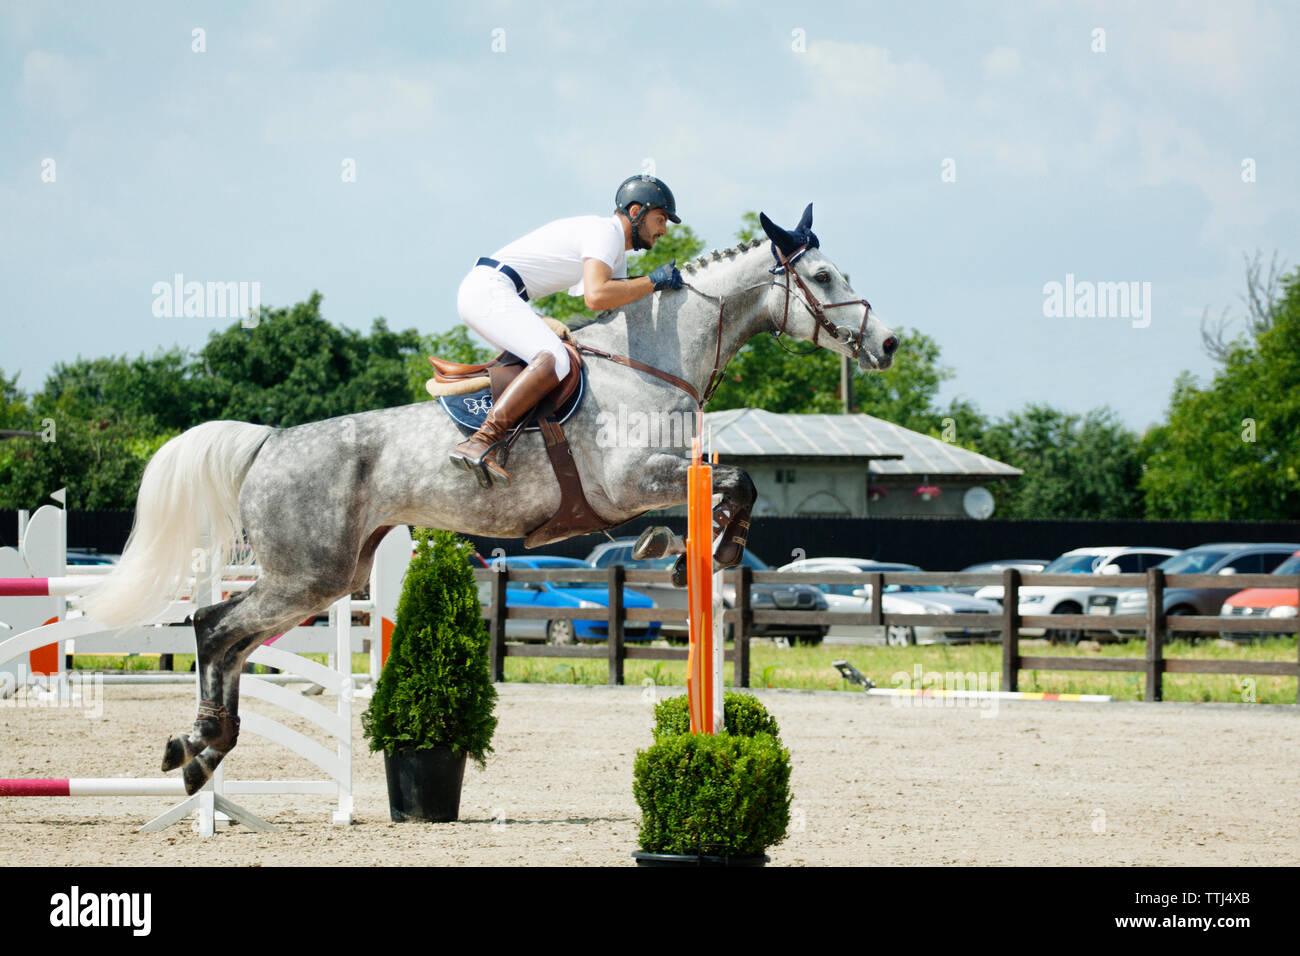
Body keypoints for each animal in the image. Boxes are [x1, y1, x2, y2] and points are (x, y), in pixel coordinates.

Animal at [78, 205, 894, 796]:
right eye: (824, 276)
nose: (885, 345)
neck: (651, 360)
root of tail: (270, 440)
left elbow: (729, 489)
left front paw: (687, 550)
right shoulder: (631, 483)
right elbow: (739, 483)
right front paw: (708, 546)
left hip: (328, 578)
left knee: (231, 640)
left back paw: (203, 748)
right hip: (306, 574)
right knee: (215, 628)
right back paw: (199, 746)